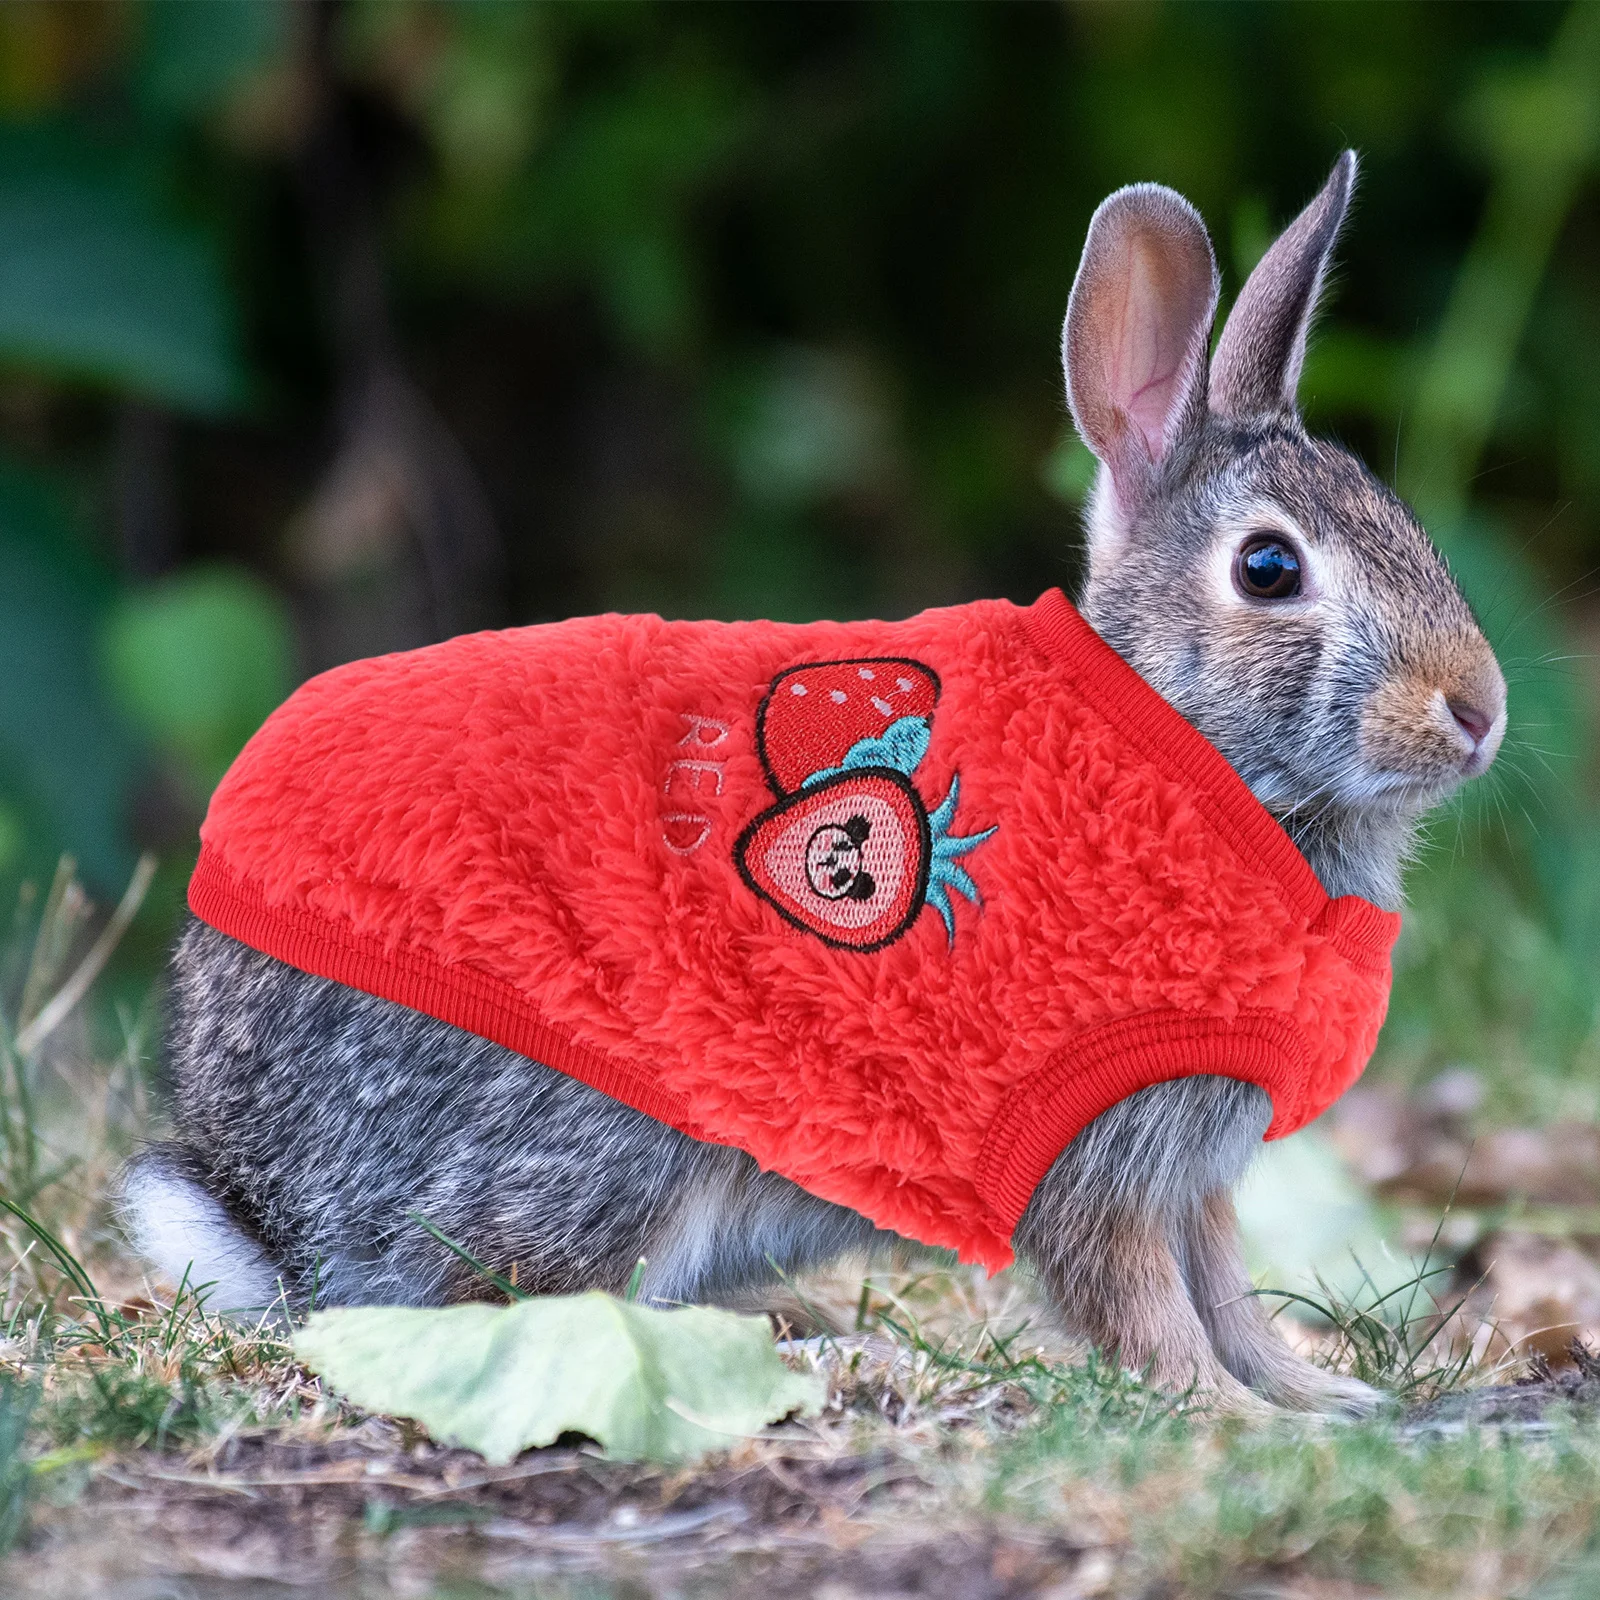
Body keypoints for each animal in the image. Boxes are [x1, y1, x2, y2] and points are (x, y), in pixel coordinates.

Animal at [120, 150, 1506, 1417]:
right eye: (1269, 569)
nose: (1479, 711)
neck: (1192, 745)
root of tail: (257, 1196)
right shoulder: (1089, 1142)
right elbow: (1143, 1297)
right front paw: (1224, 1411)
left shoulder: (1194, 1167)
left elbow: (1222, 1285)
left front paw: (1317, 1393)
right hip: (620, 1142)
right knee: (516, 1297)